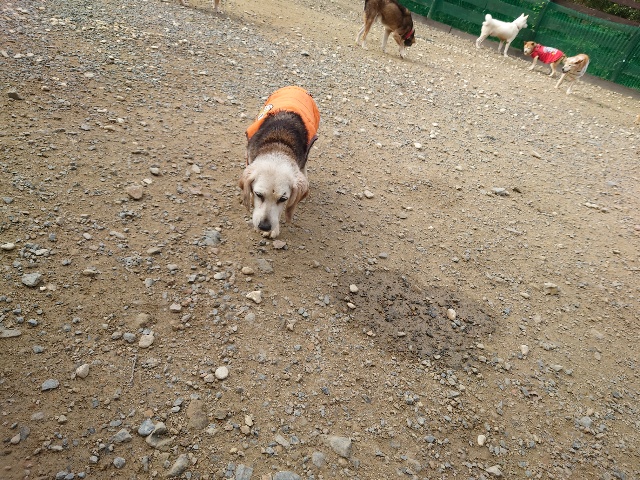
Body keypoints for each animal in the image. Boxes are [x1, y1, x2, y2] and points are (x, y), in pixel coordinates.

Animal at [239, 86, 320, 239]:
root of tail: (296, 86)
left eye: (283, 199)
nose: (264, 226)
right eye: (259, 194)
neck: (279, 143)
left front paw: (273, 230)